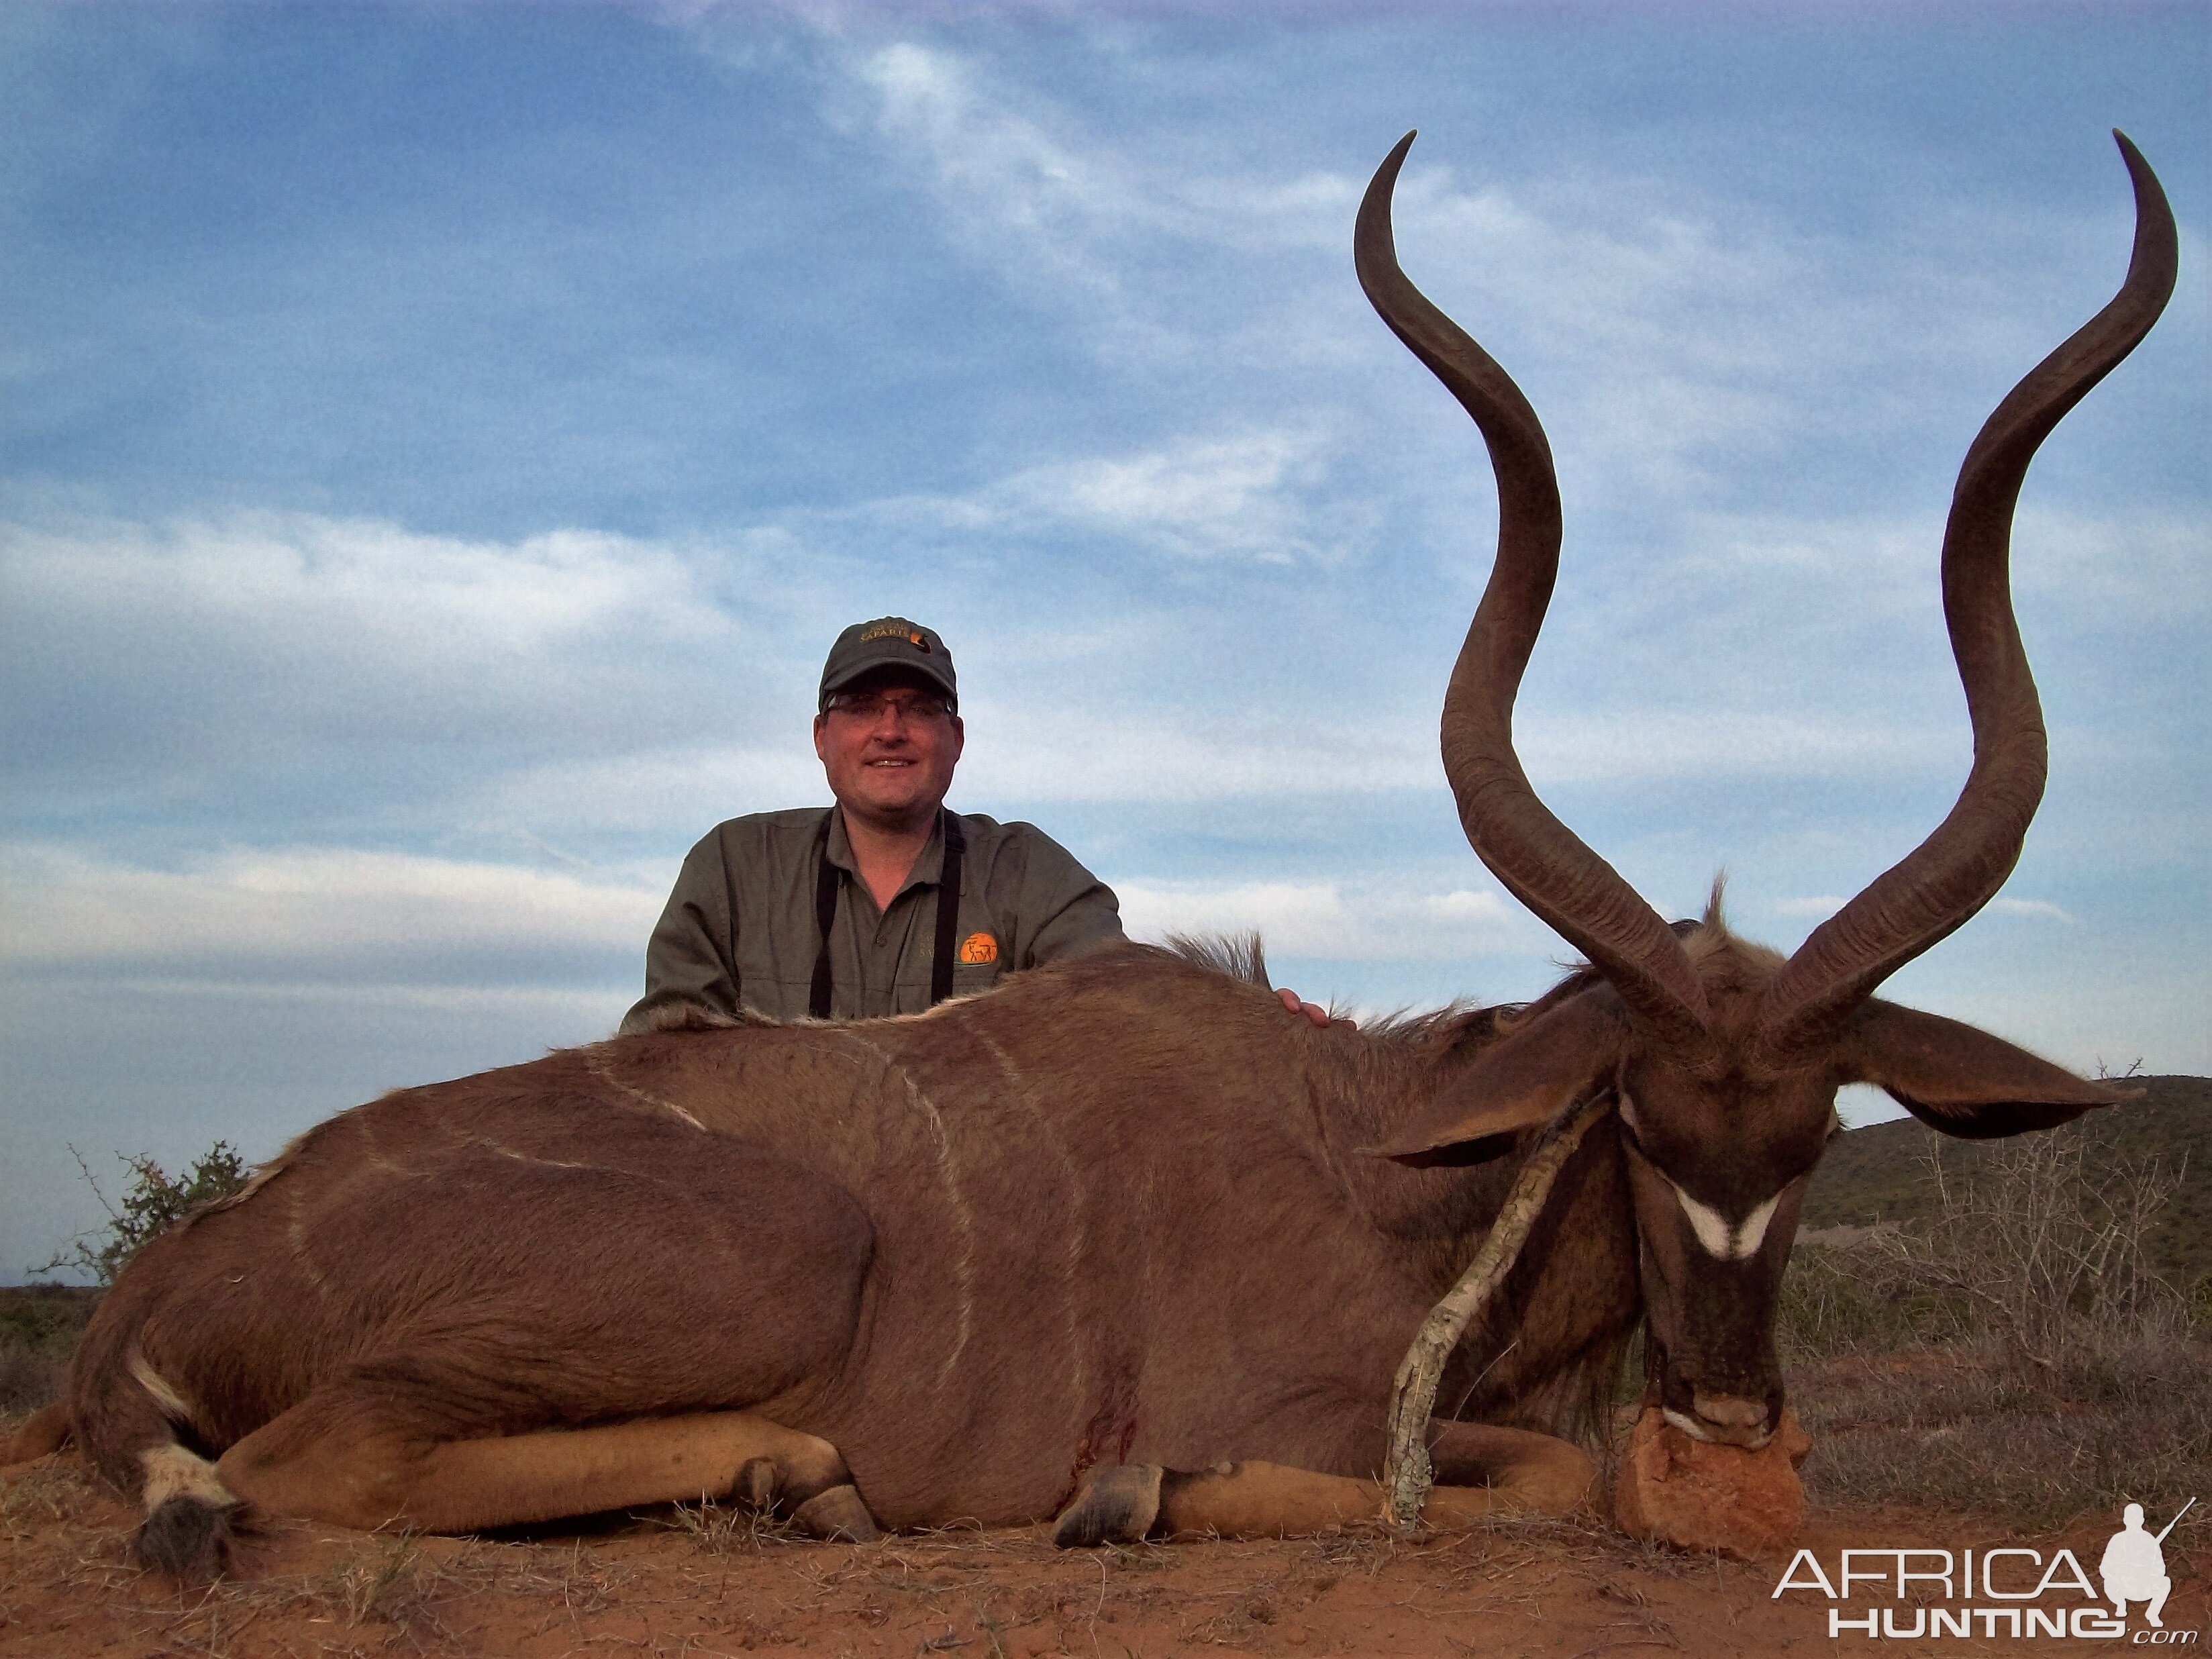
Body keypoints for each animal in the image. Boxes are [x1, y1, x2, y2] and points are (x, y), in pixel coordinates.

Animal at [0, 130, 2176, 1574]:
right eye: (1636, 1119)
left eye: (1817, 1126)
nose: (1729, 1431)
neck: (1387, 1157)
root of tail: (161, 1284)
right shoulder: (1324, 1408)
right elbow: (1530, 1473)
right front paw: (1129, 1488)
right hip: (764, 1256)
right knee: (305, 1467)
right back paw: (797, 1469)